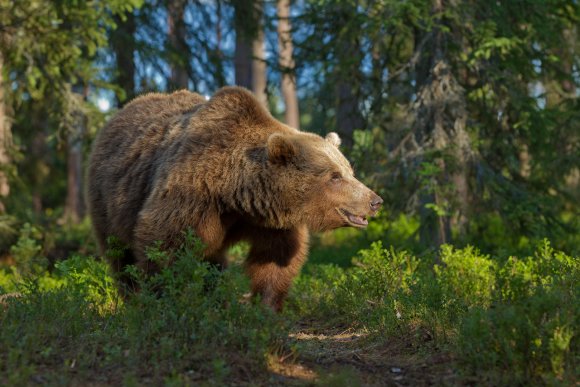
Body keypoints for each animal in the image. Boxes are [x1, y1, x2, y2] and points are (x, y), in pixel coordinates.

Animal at [87, 86, 380, 310]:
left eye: (349, 170)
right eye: (334, 176)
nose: (375, 200)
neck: (235, 193)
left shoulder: (269, 222)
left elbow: (275, 258)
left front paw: (266, 306)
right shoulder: (191, 195)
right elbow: (163, 246)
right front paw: (163, 300)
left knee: (212, 262)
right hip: (109, 200)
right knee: (120, 255)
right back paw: (132, 298)